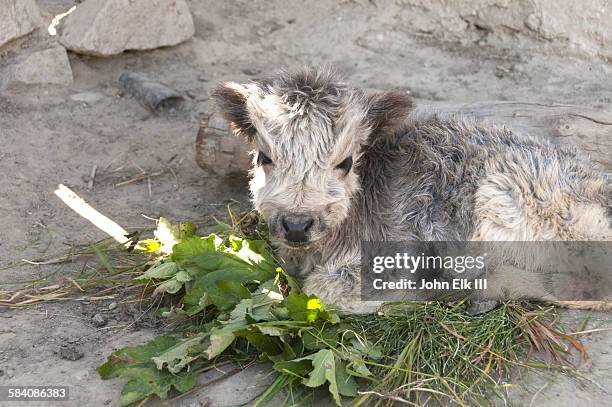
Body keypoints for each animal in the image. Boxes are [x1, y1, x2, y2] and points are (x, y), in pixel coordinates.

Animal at [212, 68, 612, 314]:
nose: (297, 224)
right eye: (264, 156)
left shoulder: (393, 254)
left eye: (346, 162)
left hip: (513, 195)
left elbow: (322, 289)